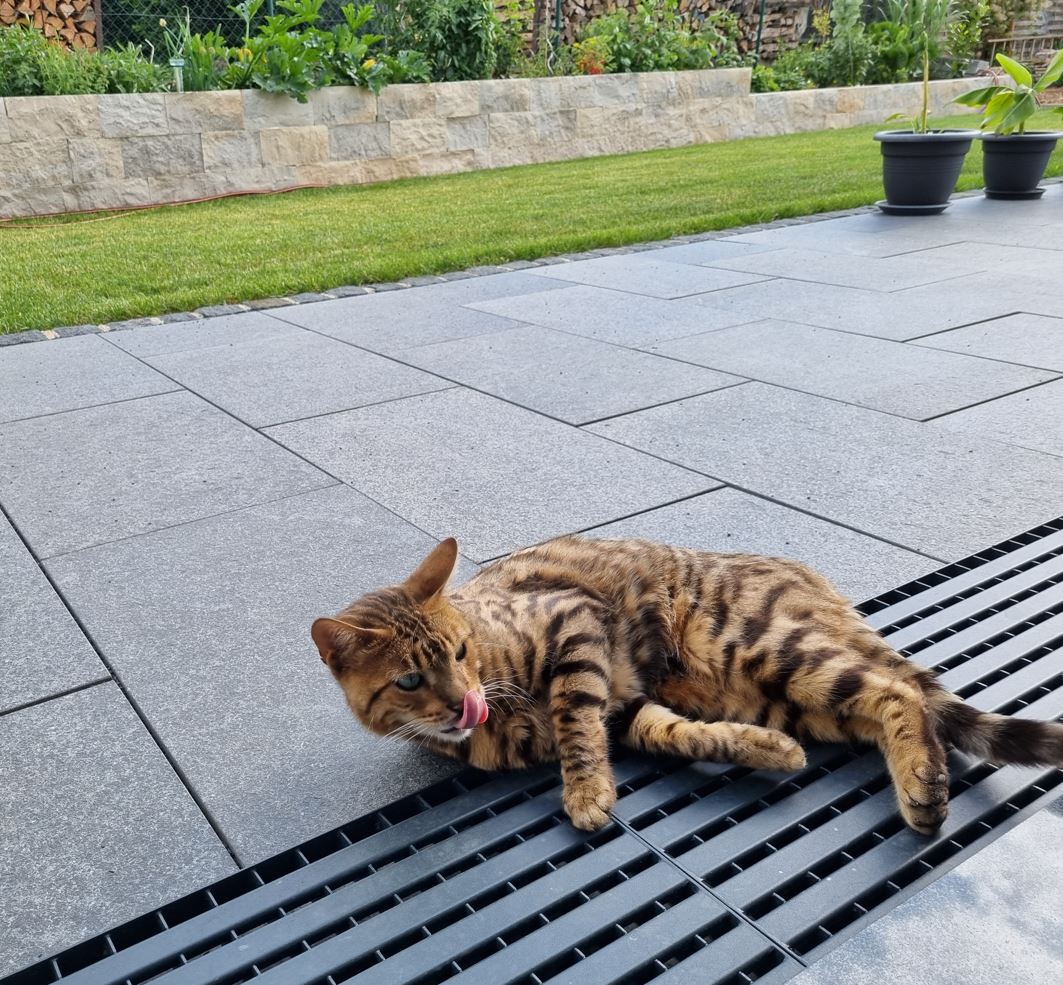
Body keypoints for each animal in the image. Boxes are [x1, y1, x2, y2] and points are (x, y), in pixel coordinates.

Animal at [310, 539, 1063, 833]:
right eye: (411, 679)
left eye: (461, 652)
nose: (462, 699)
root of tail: (812, 581)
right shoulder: (629, 710)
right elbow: (681, 734)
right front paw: (763, 751)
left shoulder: (574, 628)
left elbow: (575, 721)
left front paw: (585, 793)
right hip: (785, 695)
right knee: (892, 706)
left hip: (761, 648)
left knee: (899, 694)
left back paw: (923, 795)